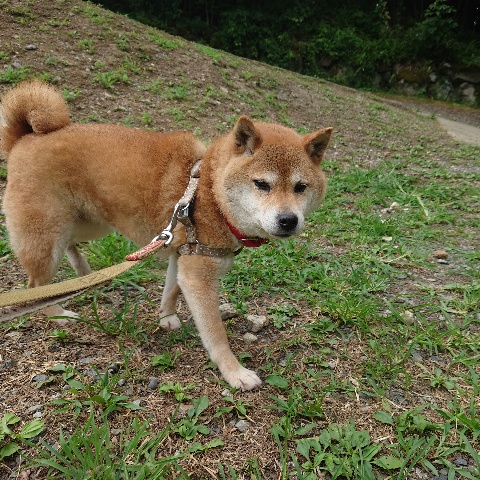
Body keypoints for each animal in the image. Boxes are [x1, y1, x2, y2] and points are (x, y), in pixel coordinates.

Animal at [0, 81, 332, 390]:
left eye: (300, 187)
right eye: (262, 184)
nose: (288, 220)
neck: (209, 194)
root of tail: (25, 137)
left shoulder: (181, 252)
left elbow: (172, 289)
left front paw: (166, 318)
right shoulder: (199, 274)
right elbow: (216, 334)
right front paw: (234, 372)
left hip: (89, 223)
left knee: (70, 244)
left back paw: (84, 272)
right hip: (47, 235)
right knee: (36, 284)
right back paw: (59, 313)